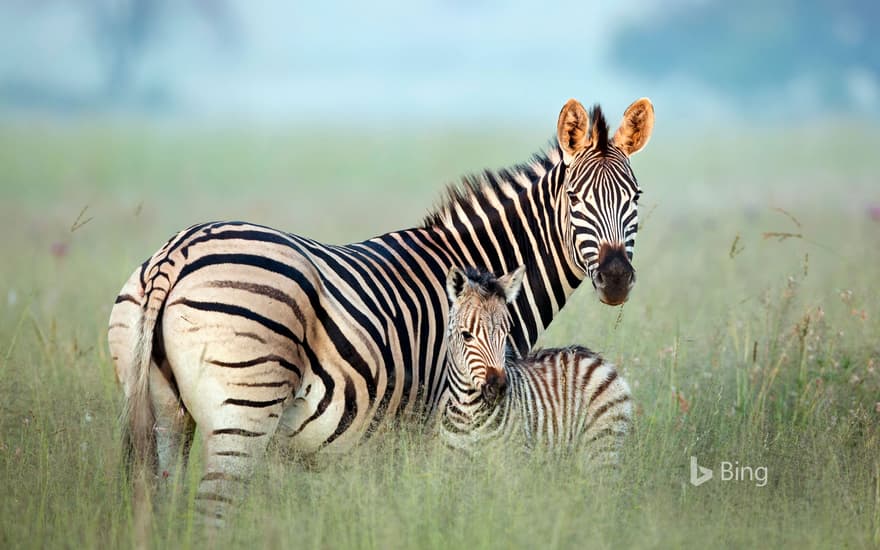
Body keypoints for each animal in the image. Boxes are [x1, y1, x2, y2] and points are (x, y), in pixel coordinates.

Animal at [106, 97, 648, 524]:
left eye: (635, 198)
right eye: (575, 199)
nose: (617, 277)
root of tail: (176, 253)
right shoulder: (436, 425)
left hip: (164, 408)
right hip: (245, 407)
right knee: (213, 508)